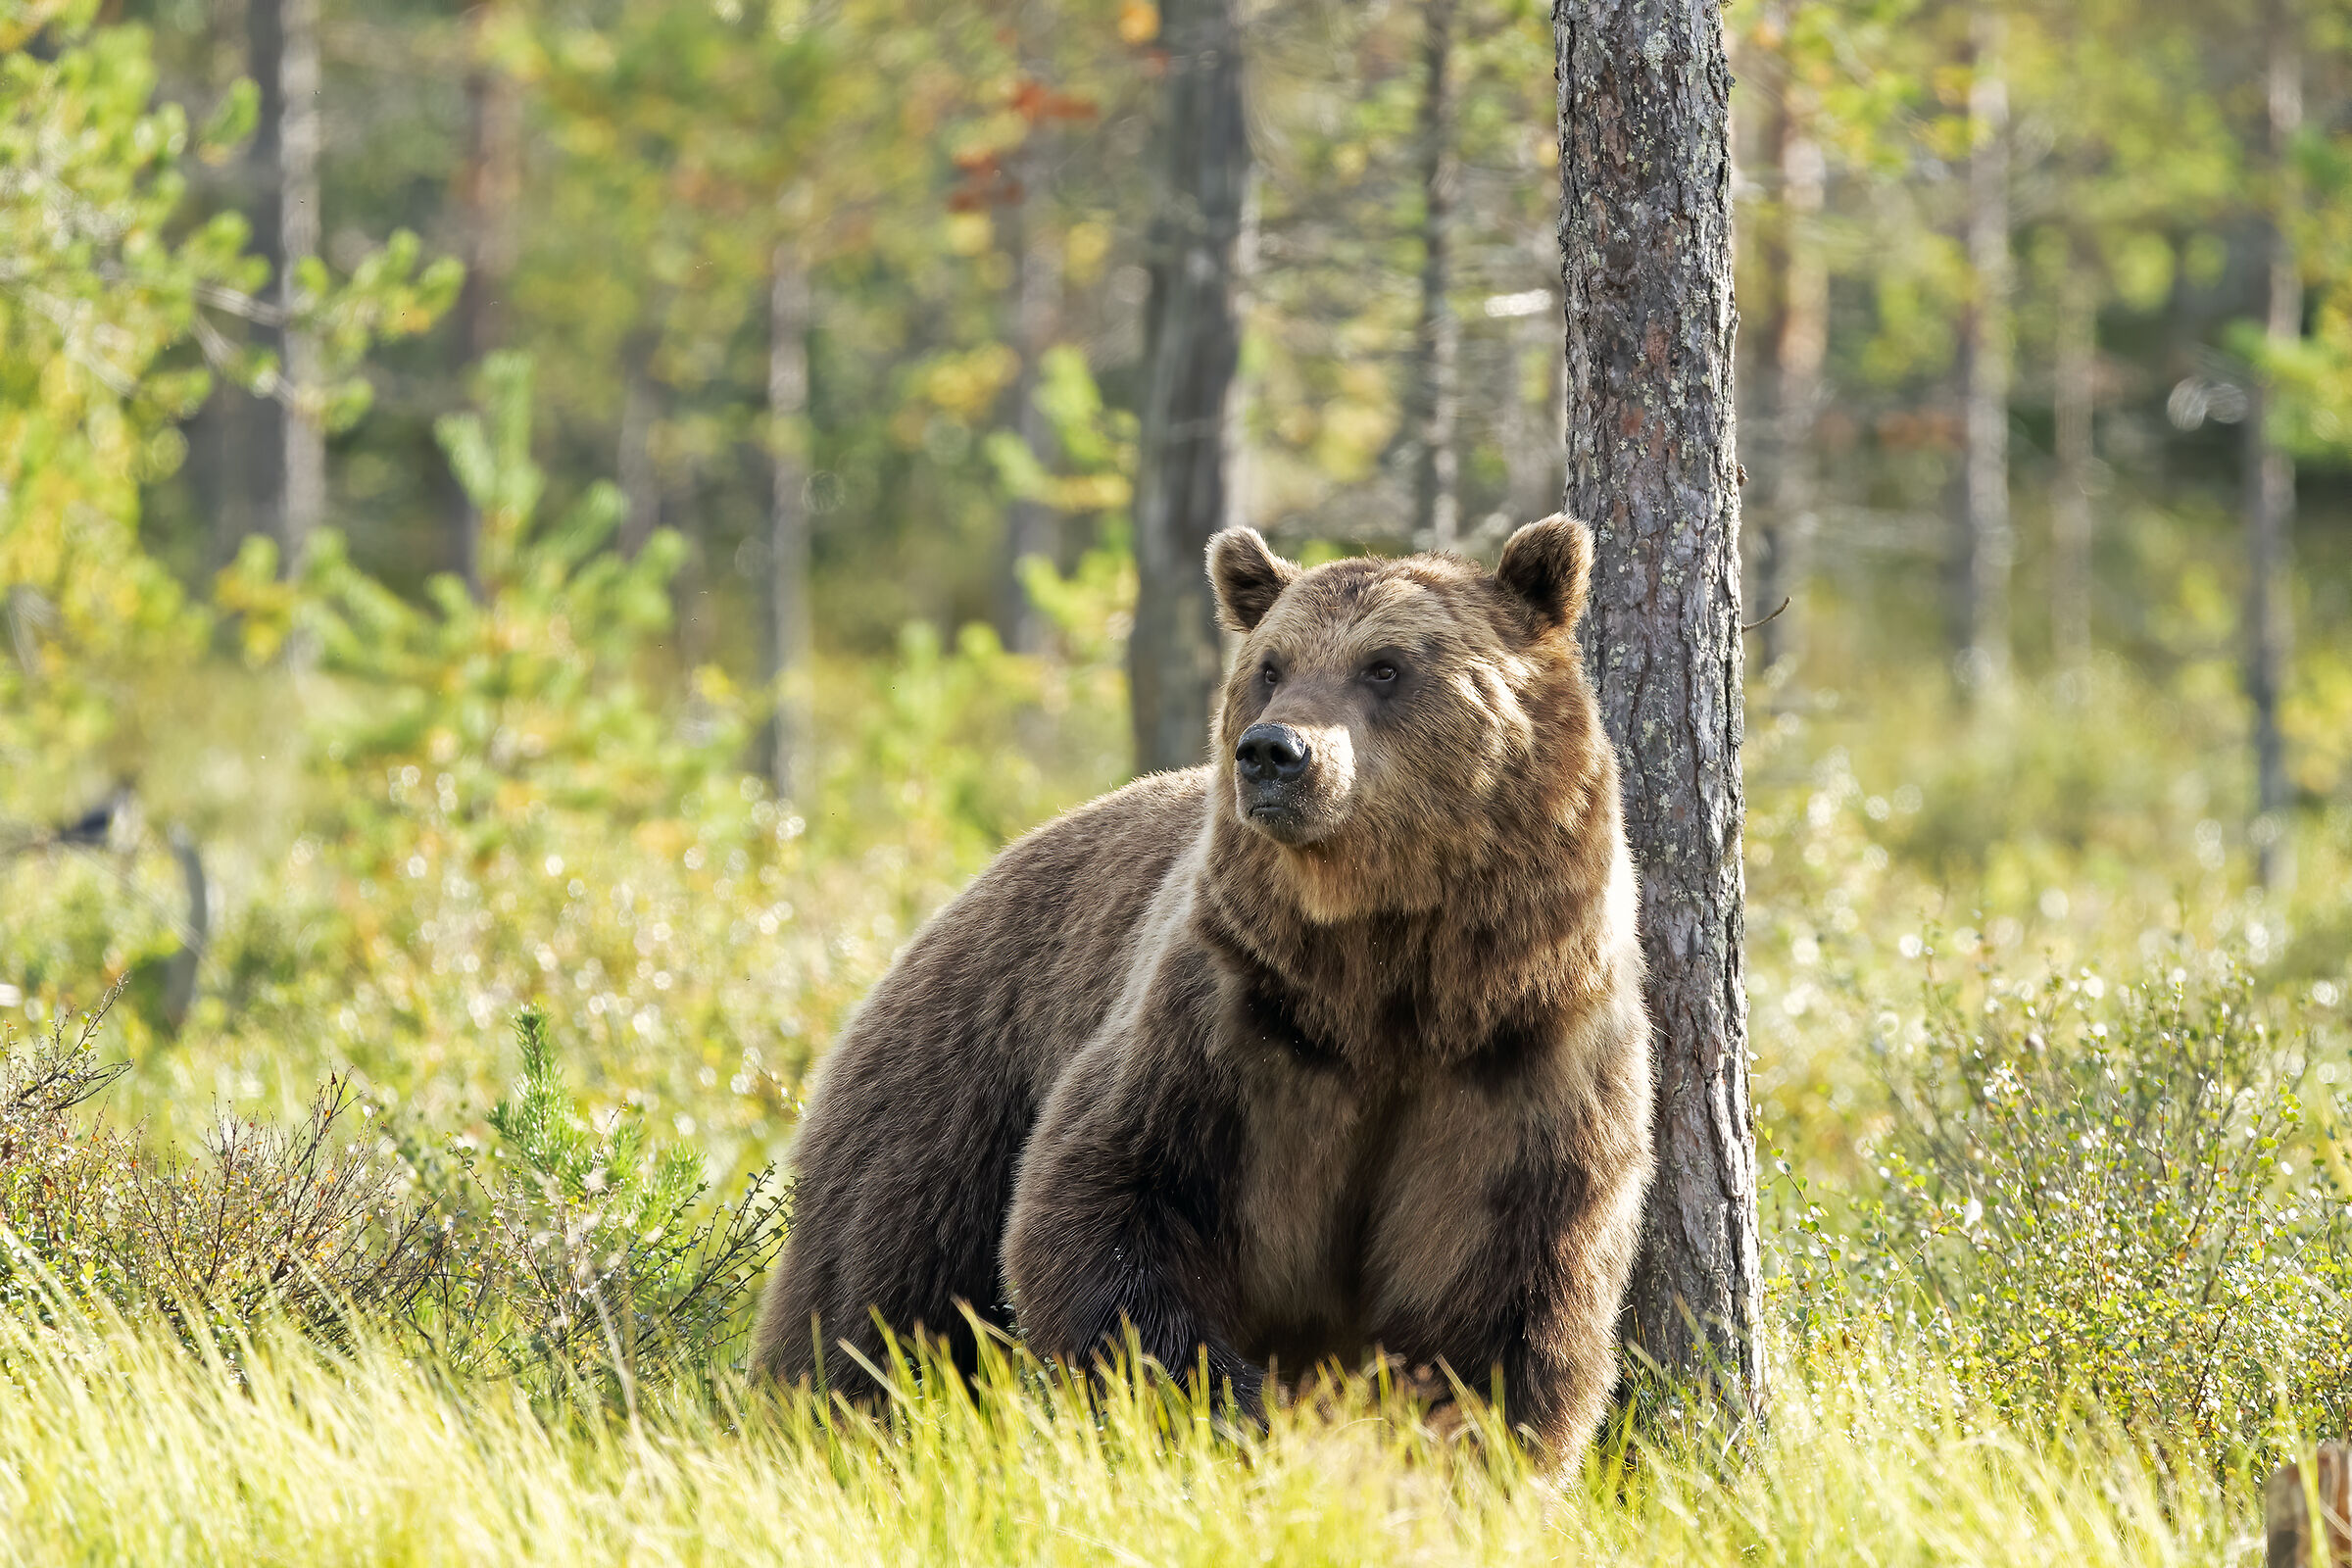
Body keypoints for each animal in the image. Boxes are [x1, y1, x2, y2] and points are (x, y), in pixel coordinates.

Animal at [750, 515, 1653, 1457]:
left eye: (1386, 666)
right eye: (1272, 666)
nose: (1274, 752)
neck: (1385, 975)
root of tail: (976, 881)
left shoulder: (1522, 1060)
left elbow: (1508, 1297)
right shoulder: (1232, 1024)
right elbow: (1114, 1208)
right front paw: (1229, 1413)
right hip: (958, 1079)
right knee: (875, 1283)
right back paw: (816, 1413)